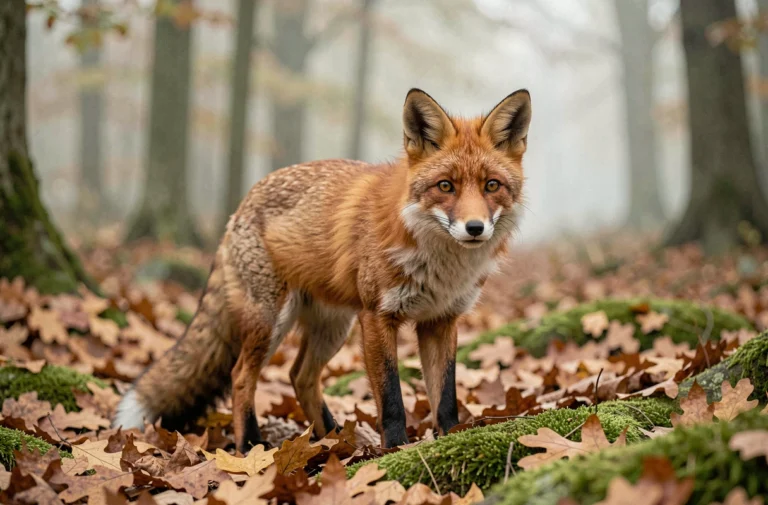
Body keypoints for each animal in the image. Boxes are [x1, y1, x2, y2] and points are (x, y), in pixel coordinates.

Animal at [113, 88, 532, 451]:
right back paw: (251, 444)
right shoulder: (377, 316)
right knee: (240, 376)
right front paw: (396, 448)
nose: (475, 228)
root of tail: (241, 205)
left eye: (491, 185)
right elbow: (392, 398)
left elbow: (445, 396)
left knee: (300, 377)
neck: (442, 265)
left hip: (333, 328)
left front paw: (451, 439)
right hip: (272, 321)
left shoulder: (441, 320)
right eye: (445, 186)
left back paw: (334, 438)